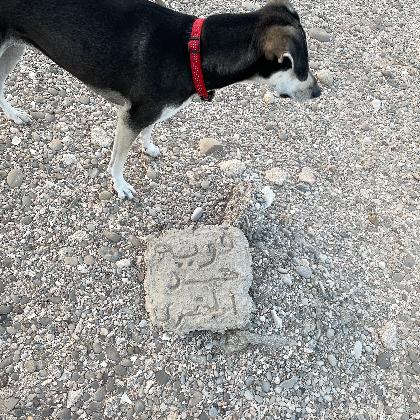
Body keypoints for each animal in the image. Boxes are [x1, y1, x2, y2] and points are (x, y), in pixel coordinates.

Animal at [0, 0, 322, 199]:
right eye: (300, 68)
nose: (318, 92)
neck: (194, 50)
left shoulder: (151, 111)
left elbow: (150, 129)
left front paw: (149, 147)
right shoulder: (132, 116)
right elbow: (117, 160)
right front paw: (120, 185)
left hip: (15, 48)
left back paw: (13, 114)